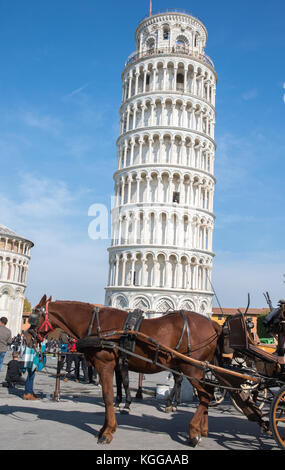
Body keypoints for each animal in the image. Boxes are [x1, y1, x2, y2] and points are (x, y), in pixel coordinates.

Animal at [26, 296, 222, 446]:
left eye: (33, 317)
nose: (27, 338)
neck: (96, 325)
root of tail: (213, 324)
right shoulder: (117, 365)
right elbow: (116, 390)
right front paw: (104, 427)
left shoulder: (104, 364)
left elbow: (108, 397)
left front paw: (108, 432)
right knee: (207, 392)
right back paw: (202, 429)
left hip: (192, 368)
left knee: (205, 395)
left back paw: (193, 432)